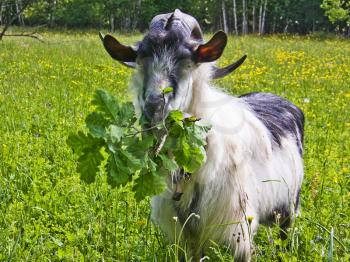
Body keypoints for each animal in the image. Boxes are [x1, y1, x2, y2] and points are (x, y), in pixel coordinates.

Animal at [98, 8, 304, 262]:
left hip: (289, 209)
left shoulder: (239, 230)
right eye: (140, 59)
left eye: (187, 60)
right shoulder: (185, 235)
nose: (155, 107)